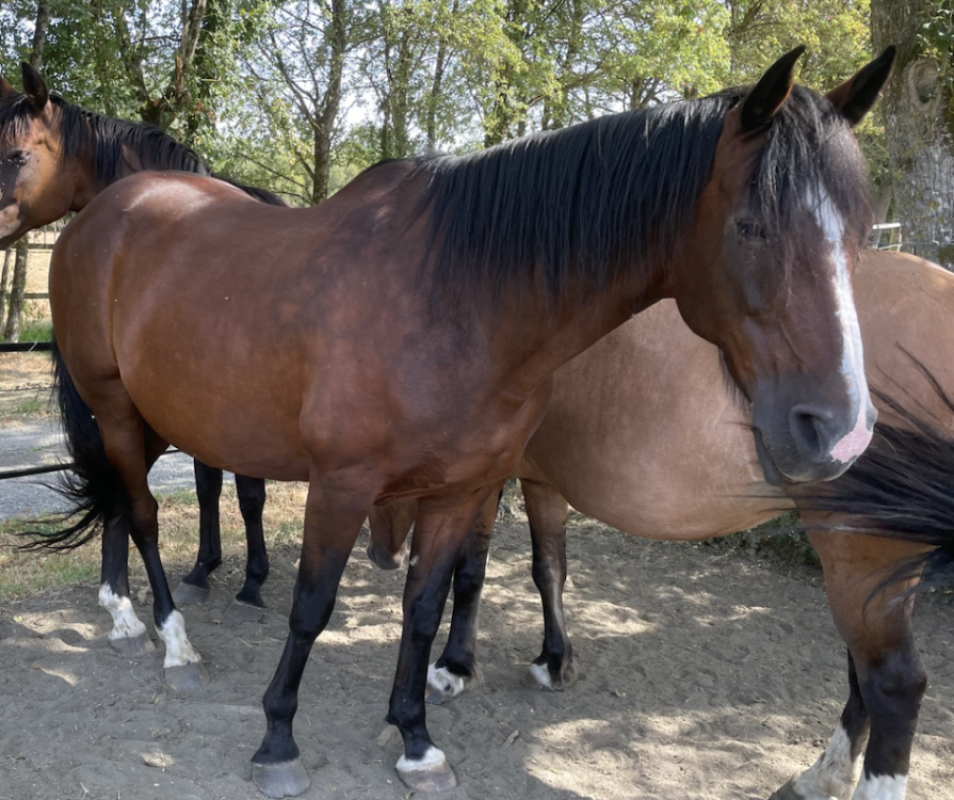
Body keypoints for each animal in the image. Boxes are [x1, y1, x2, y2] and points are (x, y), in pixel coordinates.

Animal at [32, 48, 891, 797]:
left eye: (857, 234)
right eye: (751, 226)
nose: (840, 431)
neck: (459, 295)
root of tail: (105, 212)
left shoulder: (458, 490)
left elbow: (423, 608)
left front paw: (415, 739)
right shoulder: (341, 487)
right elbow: (312, 608)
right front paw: (278, 740)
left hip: (152, 415)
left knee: (126, 502)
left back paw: (132, 618)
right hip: (114, 407)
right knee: (142, 512)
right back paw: (170, 640)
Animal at [368, 249, 953, 800]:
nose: (381, 555)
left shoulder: (486, 480)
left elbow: (470, 574)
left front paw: (454, 668)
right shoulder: (541, 480)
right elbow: (548, 568)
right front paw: (555, 662)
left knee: (894, 681)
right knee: (863, 673)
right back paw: (821, 777)